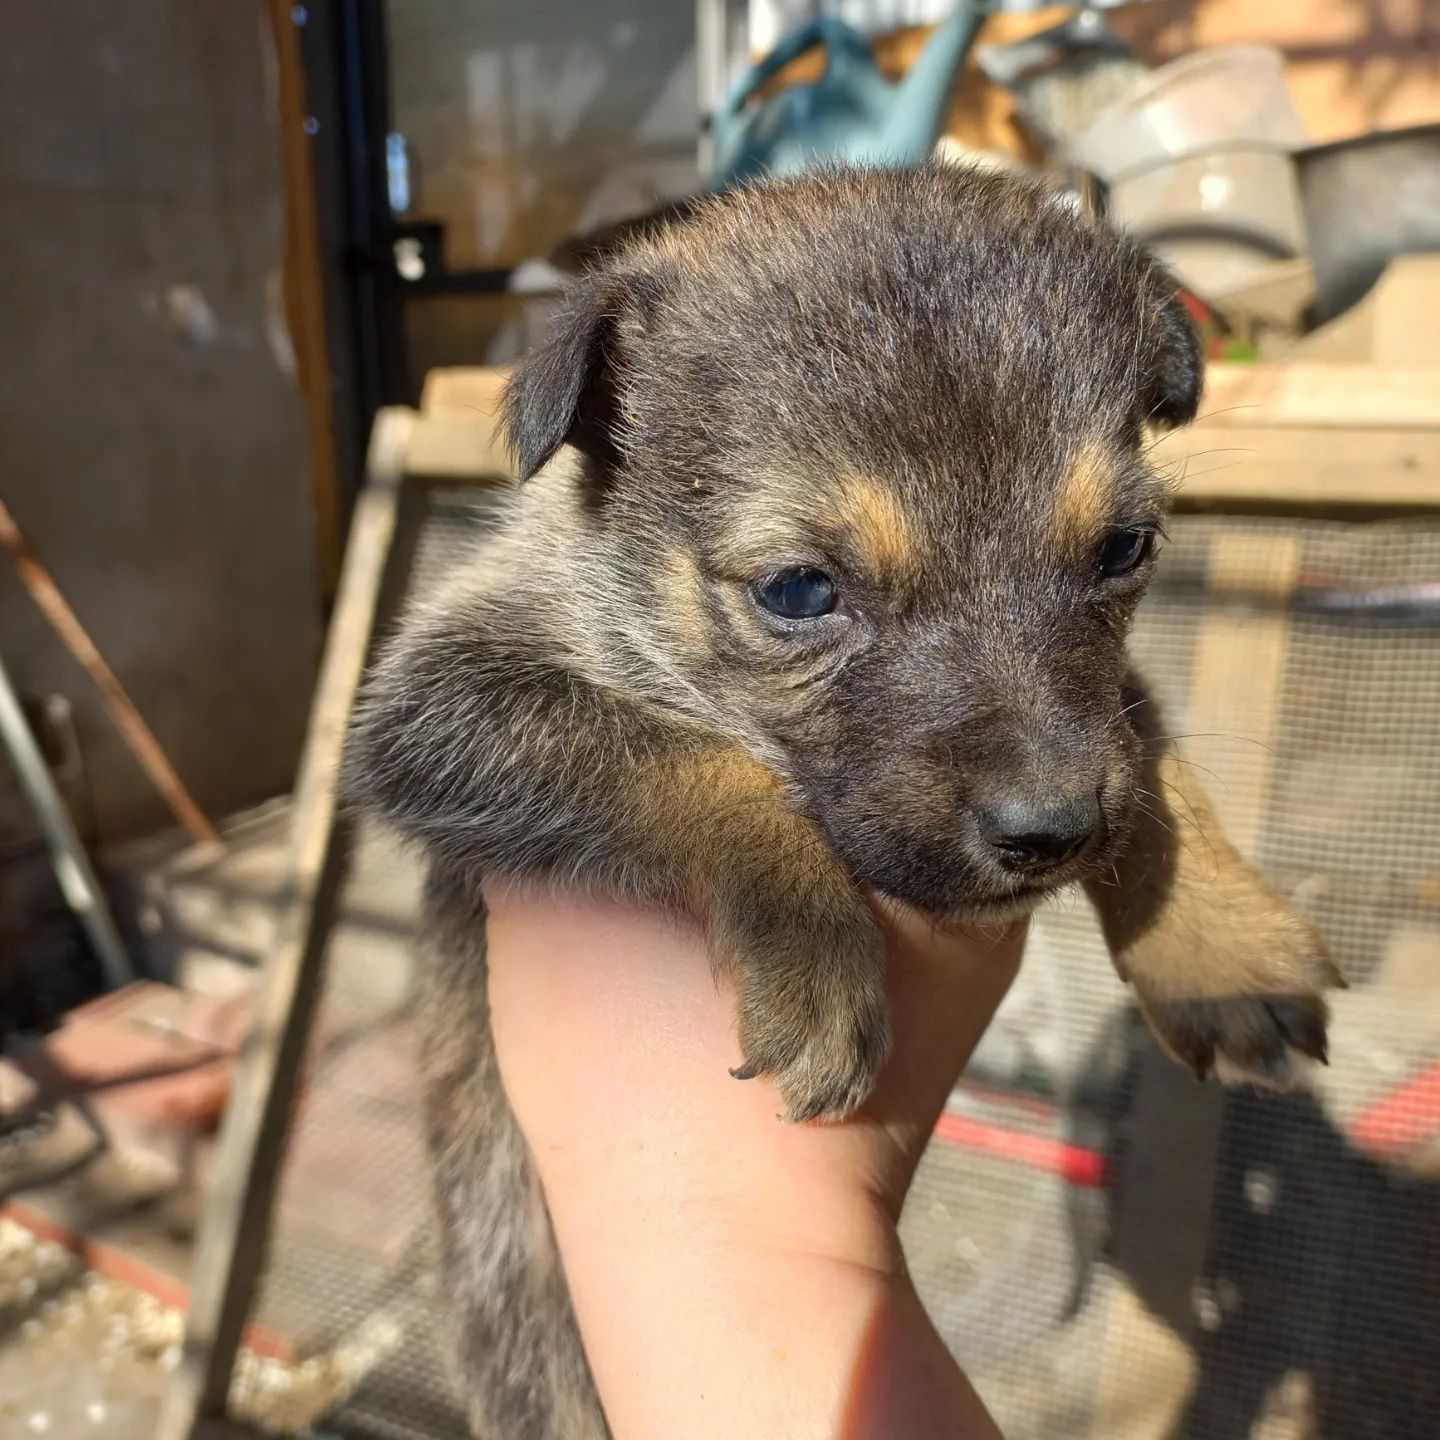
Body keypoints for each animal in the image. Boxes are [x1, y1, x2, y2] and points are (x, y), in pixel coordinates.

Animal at [348, 163, 1336, 1434]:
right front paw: (814, 948)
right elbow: (689, 759)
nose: (1055, 833)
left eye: (1124, 550)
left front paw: (1221, 950)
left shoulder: (1107, 725)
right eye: (797, 590)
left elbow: (1149, 743)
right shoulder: (440, 699)